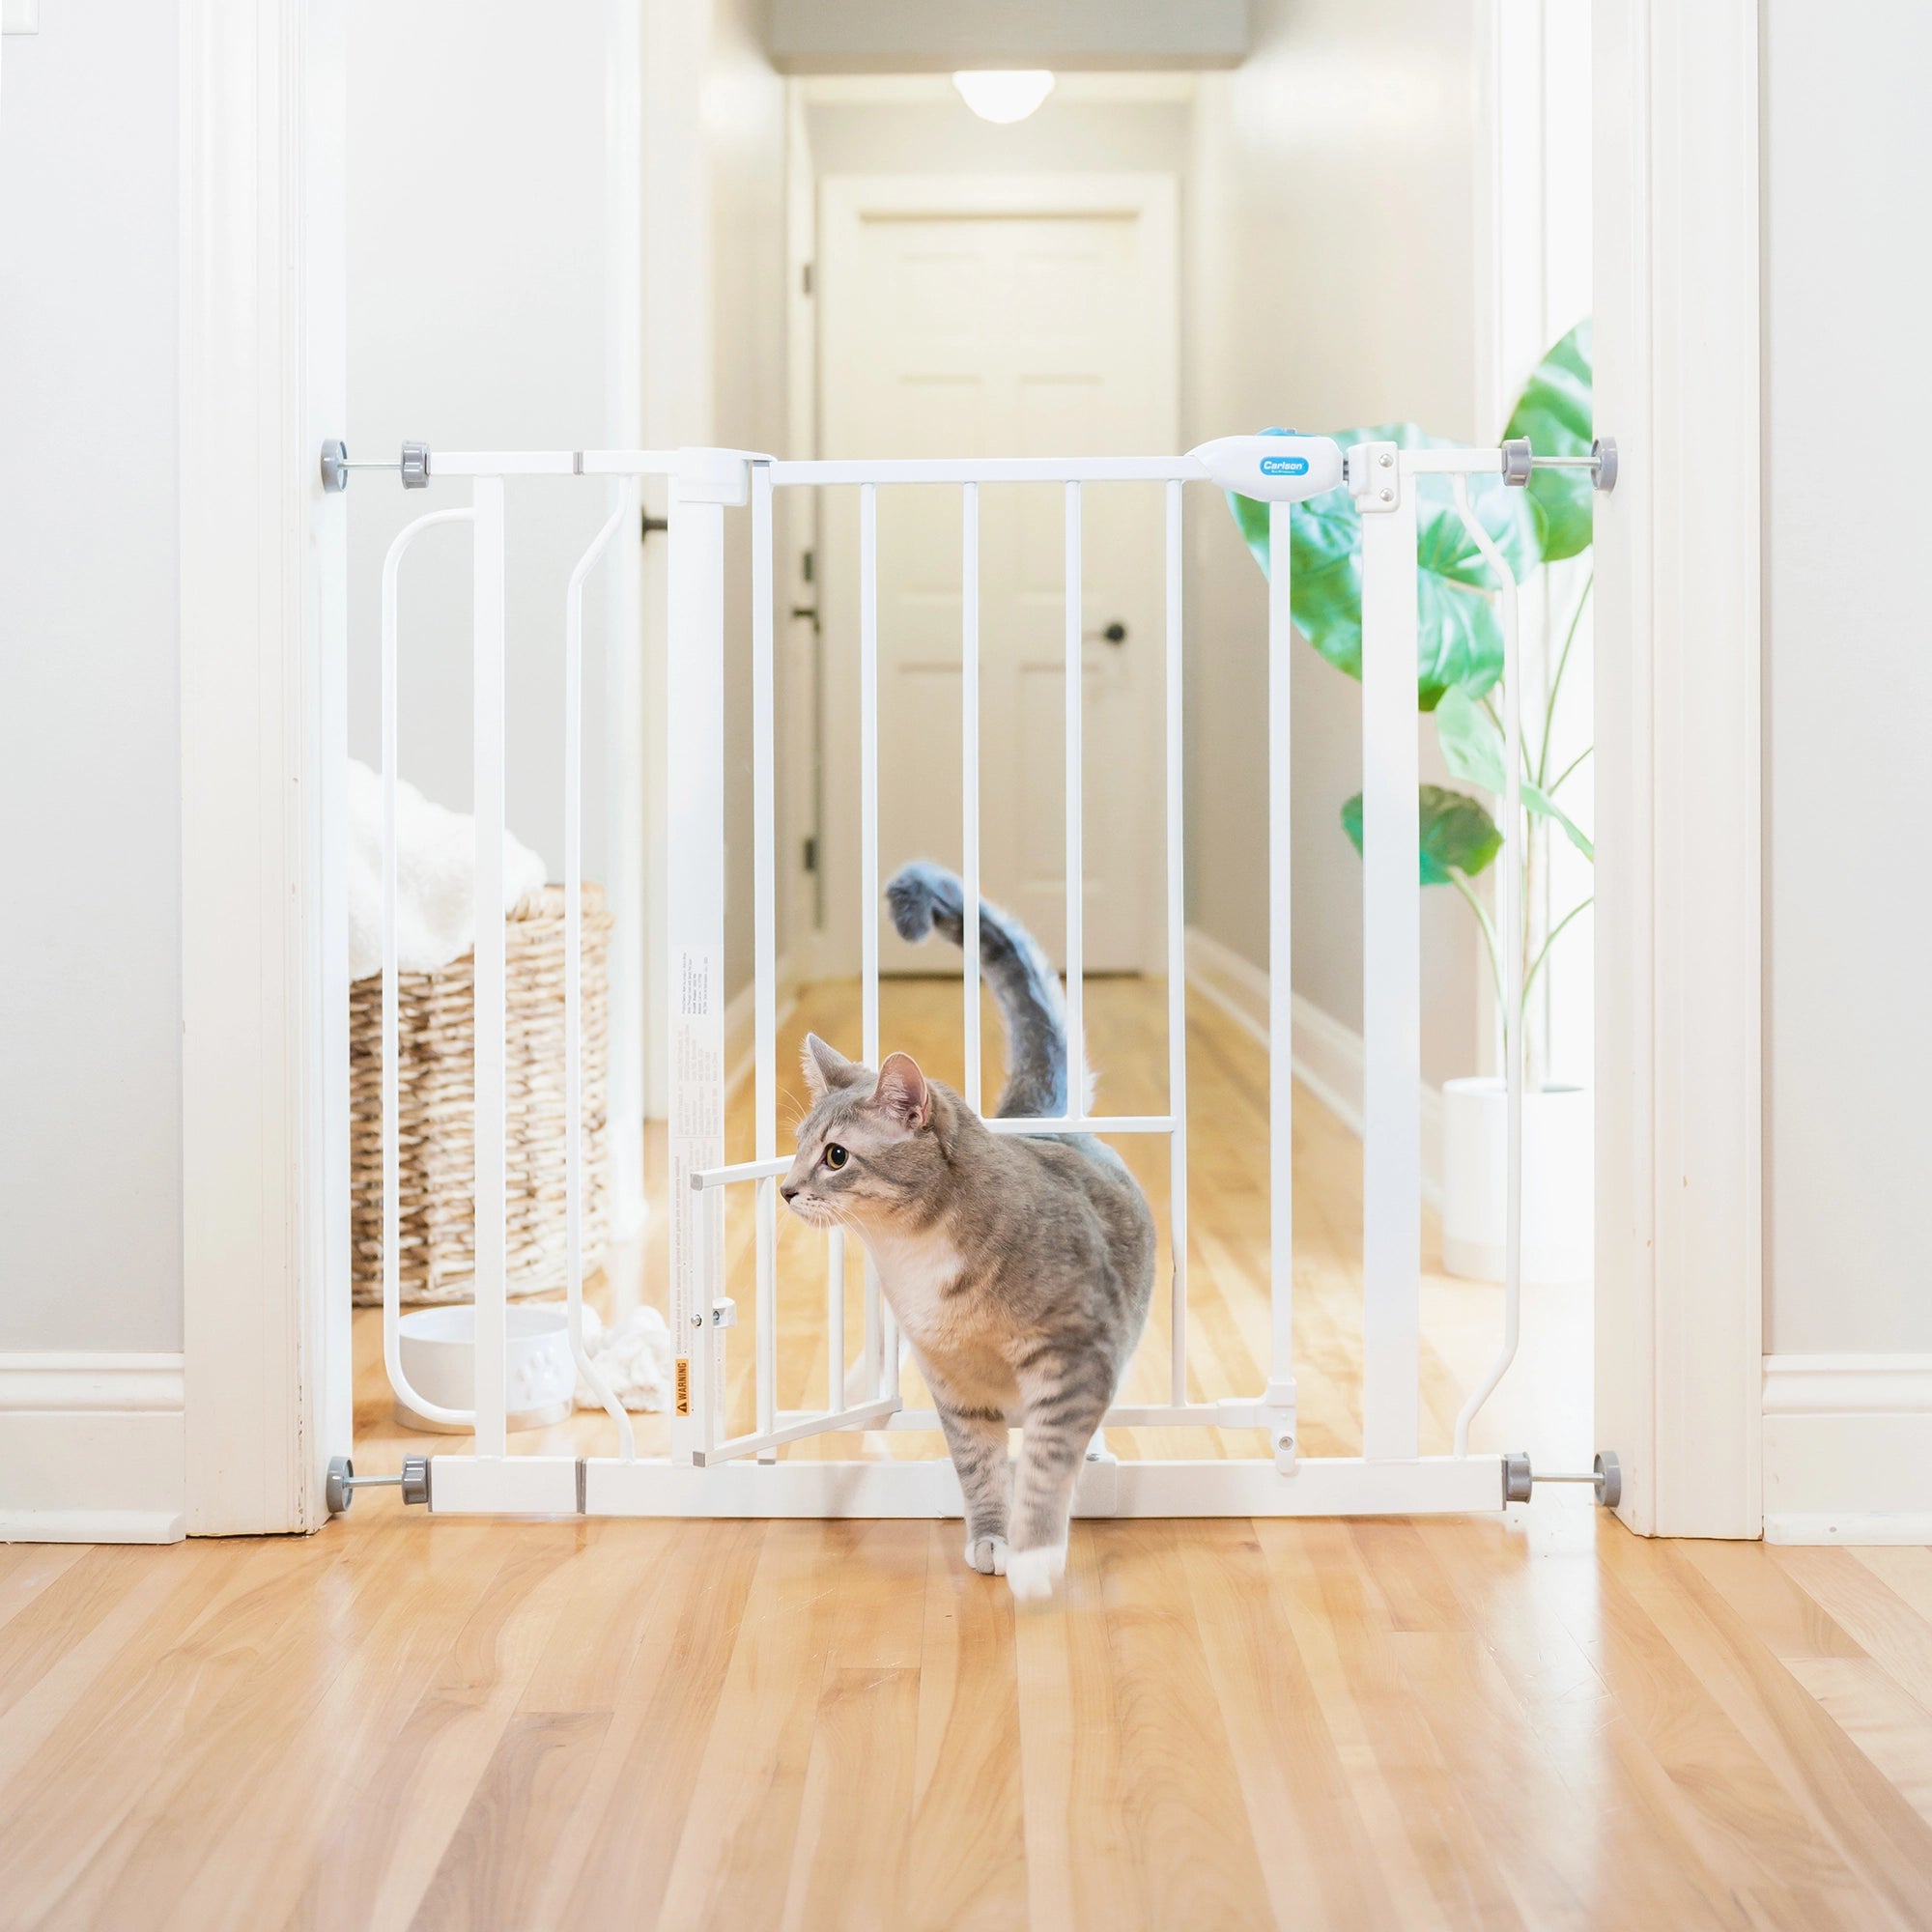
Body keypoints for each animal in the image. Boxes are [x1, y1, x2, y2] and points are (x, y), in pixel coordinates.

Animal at [777, 862, 1151, 1600]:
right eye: (800, 1147)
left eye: (835, 1156)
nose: (786, 1188)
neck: (916, 1257)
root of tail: (1037, 1120)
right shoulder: (950, 1383)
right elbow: (977, 1467)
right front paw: (992, 1539)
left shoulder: (1074, 1354)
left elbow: (1048, 1463)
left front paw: (1035, 1557)